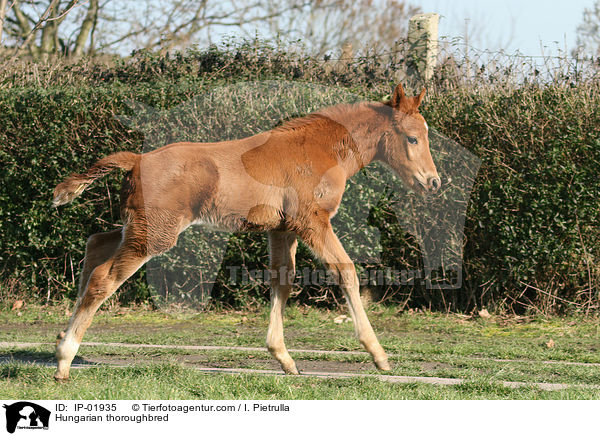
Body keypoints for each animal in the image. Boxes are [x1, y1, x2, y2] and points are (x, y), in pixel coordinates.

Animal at [52, 83, 440, 380]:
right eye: (412, 139)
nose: (433, 182)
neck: (321, 149)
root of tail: (136, 160)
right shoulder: (312, 221)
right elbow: (346, 271)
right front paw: (379, 355)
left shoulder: (283, 229)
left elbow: (283, 280)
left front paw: (283, 358)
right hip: (154, 234)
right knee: (102, 278)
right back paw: (64, 360)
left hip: (137, 226)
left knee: (95, 244)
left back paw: (61, 339)